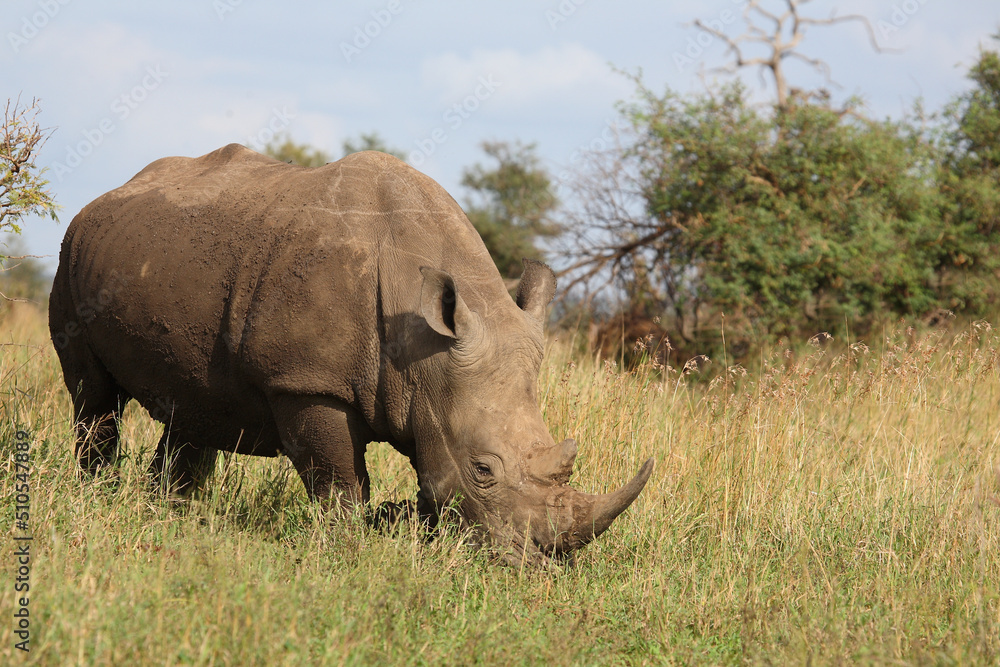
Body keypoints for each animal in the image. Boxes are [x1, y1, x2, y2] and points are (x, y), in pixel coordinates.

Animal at [49, 144, 653, 564]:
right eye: (483, 469)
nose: (536, 564)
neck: (425, 353)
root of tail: (105, 196)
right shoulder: (306, 382)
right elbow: (339, 480)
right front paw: (346, 547)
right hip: (69, 255)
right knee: (94, 399)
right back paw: (99, 496)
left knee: (192, 408)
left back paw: (169, 515)